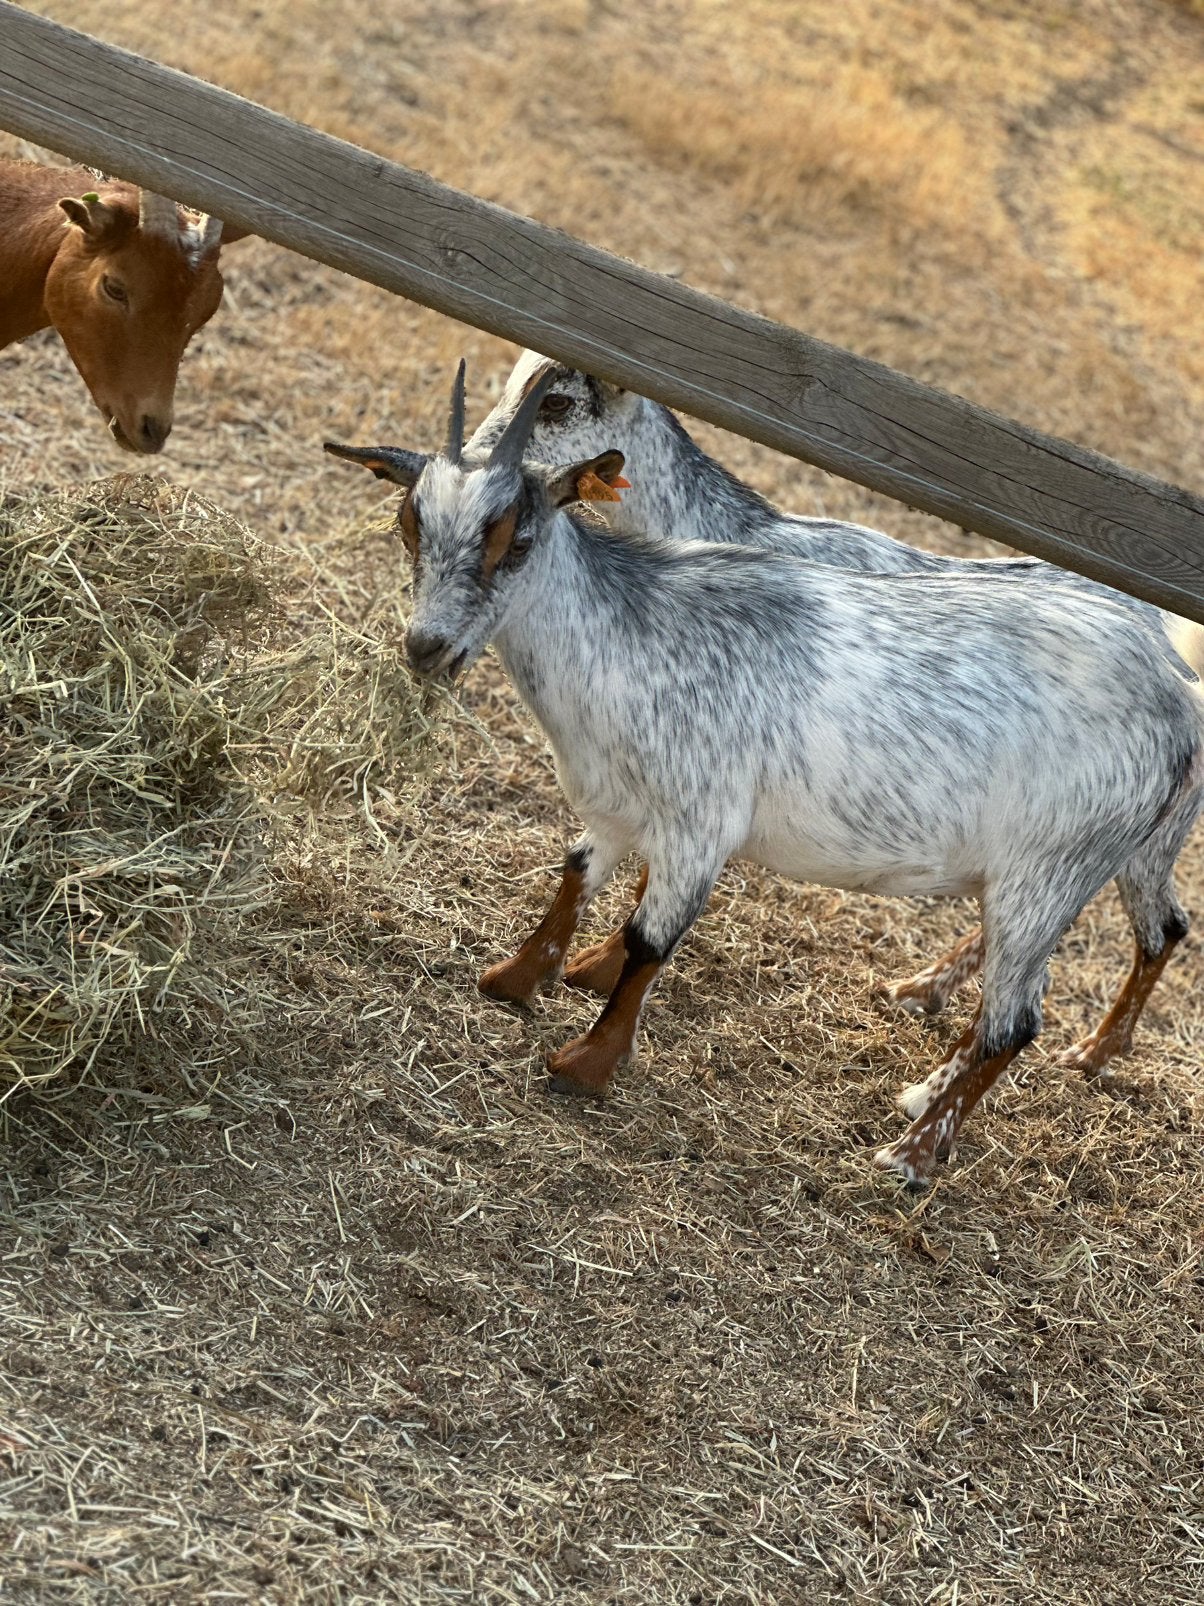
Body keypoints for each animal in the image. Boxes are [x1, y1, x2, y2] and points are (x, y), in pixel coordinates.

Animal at [470, 348, 1204, 1021]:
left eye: (557, 404)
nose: (480, 462)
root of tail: (1183, 676)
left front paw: (600, 969)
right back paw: (926, 990)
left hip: (1133, 839)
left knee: (1160, 927)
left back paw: (1087, 1051)